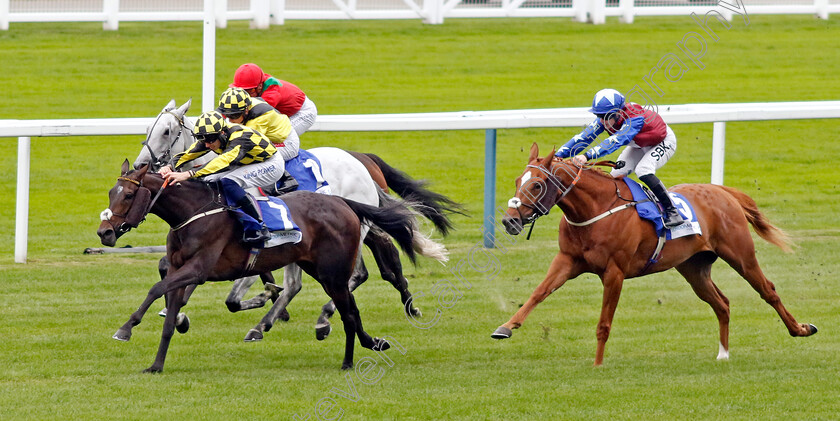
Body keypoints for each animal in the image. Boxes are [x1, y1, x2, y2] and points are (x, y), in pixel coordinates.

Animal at [98, 160, 442, 370]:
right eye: (111, 192)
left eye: (128, 195)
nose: (105, 233)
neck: (194, 212)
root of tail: (343, 202)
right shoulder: (180, 269)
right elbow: (169, 315)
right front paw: (156, 364)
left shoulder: (198, 270)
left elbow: (156, 288)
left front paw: (125, 328)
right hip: (321, 270)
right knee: (351, 308)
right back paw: (371, 343)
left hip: (332, 272)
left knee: (348, 309)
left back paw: (346, 356)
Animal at [492, 144, 812, 364]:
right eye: (518, 180)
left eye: (536, 184)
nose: (509, 221)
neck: (596, 209)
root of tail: (724, 192)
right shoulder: (567, 261)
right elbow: (538, 293)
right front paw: (505, 327)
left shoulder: (614, 271)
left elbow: (604, 323)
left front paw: (597, 364)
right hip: (694, 268)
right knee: (721, 303)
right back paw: (723, 354)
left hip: (741, 255)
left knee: (768, 291)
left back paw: (801, 329)